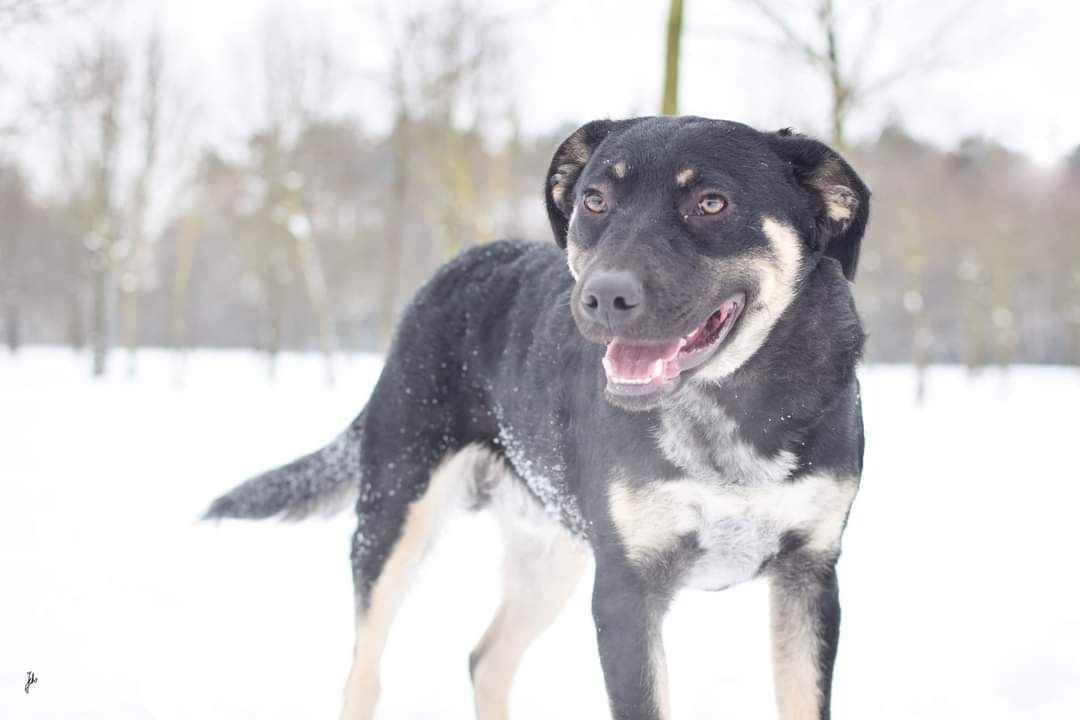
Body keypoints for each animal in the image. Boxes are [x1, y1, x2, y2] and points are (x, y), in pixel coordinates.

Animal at [206, 115, 872, 716]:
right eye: (595, 200)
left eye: (711, 203)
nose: (603, 297)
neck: (730, 411)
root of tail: (456, 269)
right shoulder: (625, 592)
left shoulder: (811, 578)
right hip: (395, 516)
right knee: (362, 677)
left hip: (551, 553)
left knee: (487, 661)